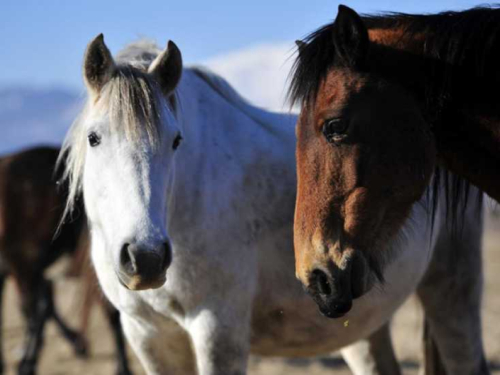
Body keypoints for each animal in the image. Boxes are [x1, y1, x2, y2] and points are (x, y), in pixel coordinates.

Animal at [59, 34, 484, 374]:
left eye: (176, 140)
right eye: (94, 138)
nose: (145, 258)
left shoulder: (218, 329)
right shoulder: (146, 336)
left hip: (453, 289)